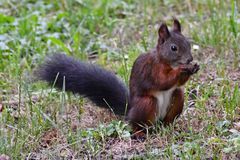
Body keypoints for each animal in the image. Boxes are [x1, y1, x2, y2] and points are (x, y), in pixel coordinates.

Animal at [35, 18, 200, 138]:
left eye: (188, 43)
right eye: (174, 48)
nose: (190, 59)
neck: (166, 62)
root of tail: (129, 111)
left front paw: (194, 67)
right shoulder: (151, 69)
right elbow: (162, 81)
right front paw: (182, 69)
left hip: (177, 98)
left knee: (175, 99)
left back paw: (169, 127)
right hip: (146, 104)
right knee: (137, 124)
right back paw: (140, 133)